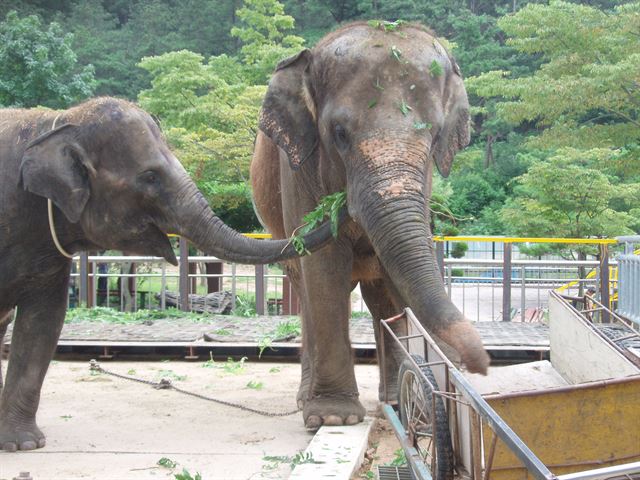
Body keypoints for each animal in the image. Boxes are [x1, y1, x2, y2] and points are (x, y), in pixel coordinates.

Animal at [0, 96, 344, 450]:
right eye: (150, 177)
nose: (339, 202)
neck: (55, 123)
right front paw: (24, 445)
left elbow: (43, 323)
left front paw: (23, 444)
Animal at [251, 21, 490, 428]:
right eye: (339, 133)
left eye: (435, 135)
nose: (480, 365)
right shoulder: (297, 167)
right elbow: (325, 266)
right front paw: (333, 418)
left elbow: (396, 276)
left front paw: (404, 403)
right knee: (308, 293)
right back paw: (306, 400)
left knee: (377, 298)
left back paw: (391, 400)